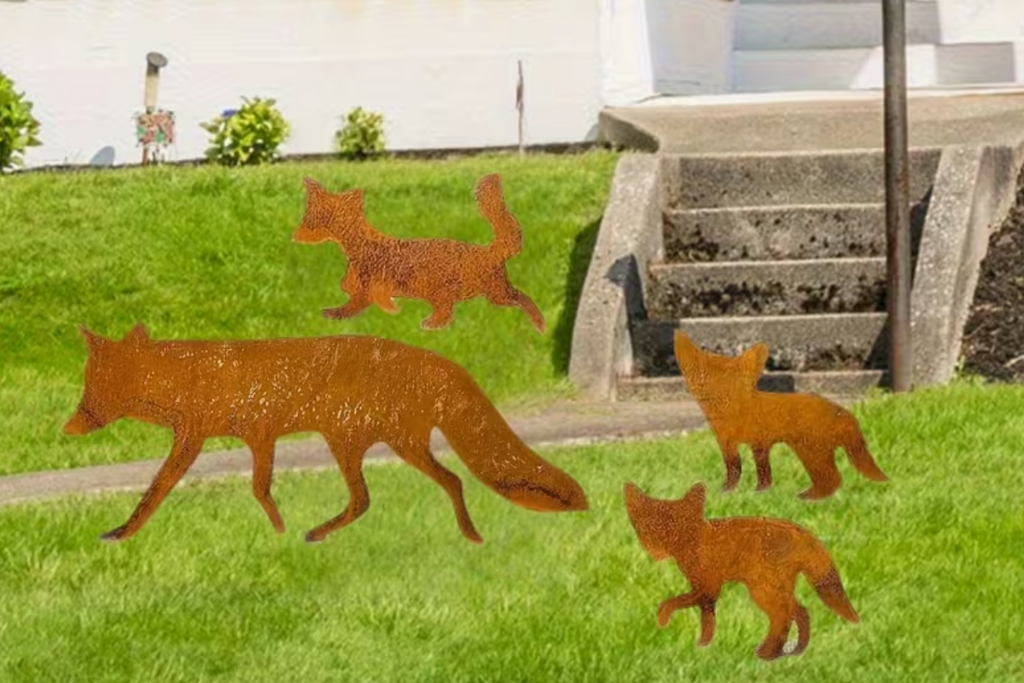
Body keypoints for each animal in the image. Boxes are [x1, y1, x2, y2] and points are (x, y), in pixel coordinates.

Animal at [62, 323, 588, 543]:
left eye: (94, 388)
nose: (68, 427)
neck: (185, 377)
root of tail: (438, 361)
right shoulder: (260, 437)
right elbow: (259, 487)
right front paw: (276, 529)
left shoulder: (202, 439)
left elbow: (156, 489)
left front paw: (124, 532)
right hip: (389, 446)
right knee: (442, 483)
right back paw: (469, 534)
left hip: (359, 443)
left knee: (372, 498)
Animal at [292, 173, 546, 333]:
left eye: (309, 218)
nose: (293, 236)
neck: (358, 245)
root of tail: (490, 250)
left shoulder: (365, 292)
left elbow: (348, 308)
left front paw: (333, 313)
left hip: (482, 293)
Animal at [624, 481, 861, 660]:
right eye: (650, 527)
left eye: (677, 526)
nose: (656, 548)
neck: (694, 542)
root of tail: (798, 530)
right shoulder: (705, 592)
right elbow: (707, 621)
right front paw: (703, 646)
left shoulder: (708, 587)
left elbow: (675, 603)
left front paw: (665, 619)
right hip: (775, 590)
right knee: (801, 611)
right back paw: (795, 651)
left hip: (763, 591)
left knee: (783, 616)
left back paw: (768, 653)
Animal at [673, 331, 888, 500]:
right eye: (704, 378)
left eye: (733, 381)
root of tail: (840, 410)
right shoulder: (729, 445)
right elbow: (735, 471)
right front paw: (728, 491)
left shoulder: (759, 443)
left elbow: (761, 472)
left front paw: (757, 491)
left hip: (811, 453)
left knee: (833, 479)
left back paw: (807, 498)